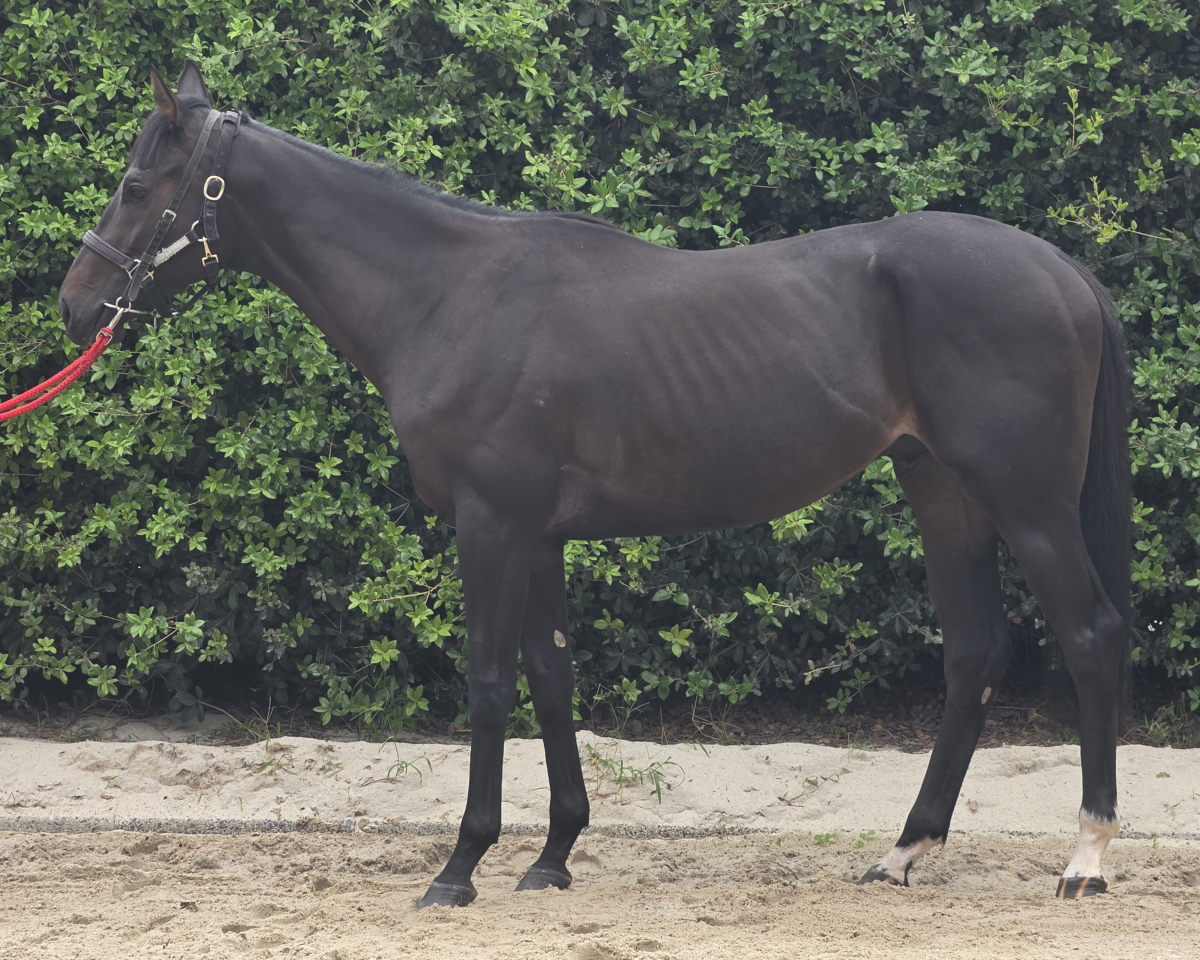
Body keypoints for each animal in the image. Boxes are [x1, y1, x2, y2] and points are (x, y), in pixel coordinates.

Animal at [58, 63, 1130, 906]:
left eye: (138, 184)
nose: (75, 304)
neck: (448, 294)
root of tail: (1064, 269)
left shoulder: (491, 523)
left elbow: (490, 681)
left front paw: (461, 867)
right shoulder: (537, 534)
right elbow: (552, 676)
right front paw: (554, 855)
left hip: (1027, 502)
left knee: (1088, 637)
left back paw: (1085, 859)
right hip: (943, 491)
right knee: (975, 653)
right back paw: (903, 853)